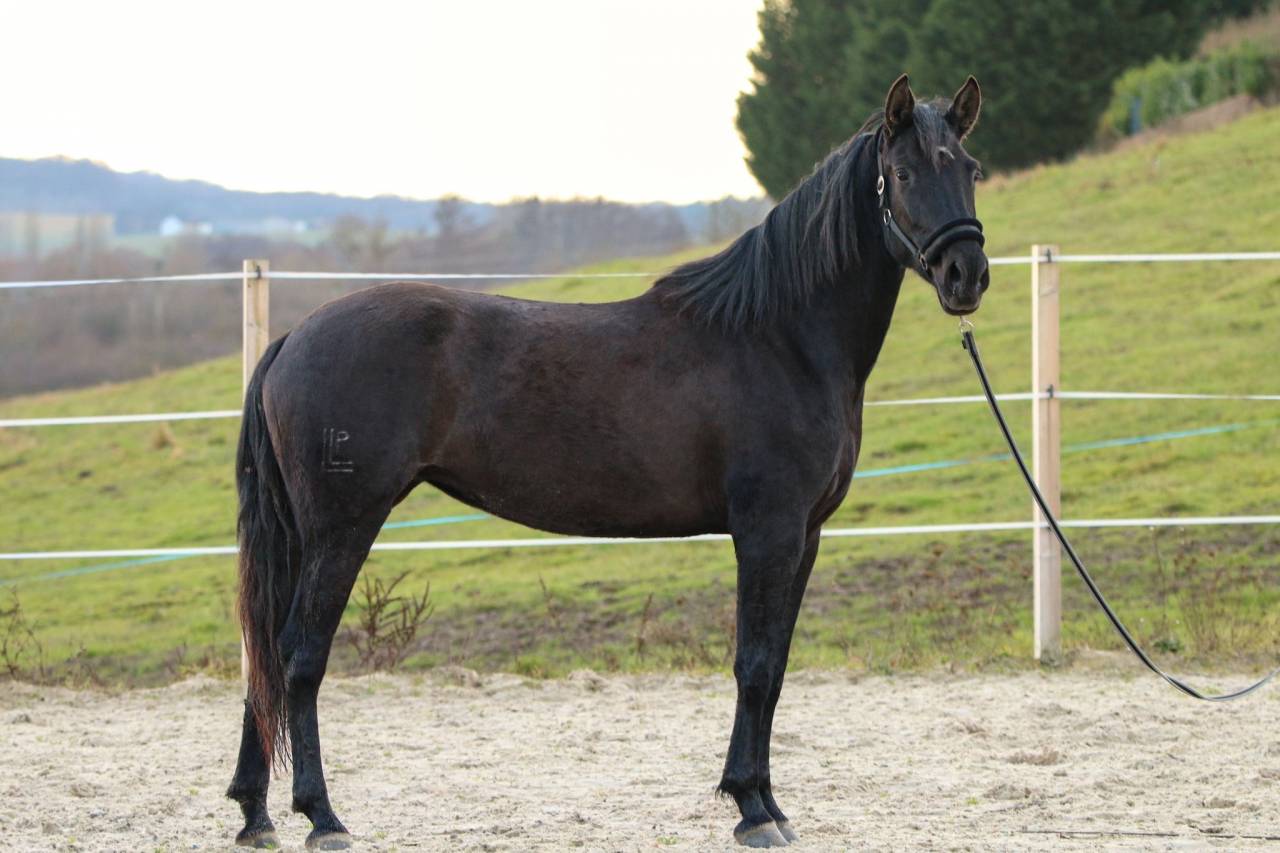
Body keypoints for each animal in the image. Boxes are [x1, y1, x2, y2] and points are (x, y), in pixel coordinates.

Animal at [226, 73, 989, 849]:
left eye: (968, 168)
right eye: (902, 173)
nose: (967, 275)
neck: (779, 338)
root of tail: (293, 338)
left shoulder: (805, 535)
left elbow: (774, 667)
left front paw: (771, 804)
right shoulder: (767, 531)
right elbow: (751, 664)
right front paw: (749, 807)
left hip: (303, 534)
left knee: (265, 654)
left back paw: (256, 813)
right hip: (342, 527)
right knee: (298, 654)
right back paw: (320, 815)